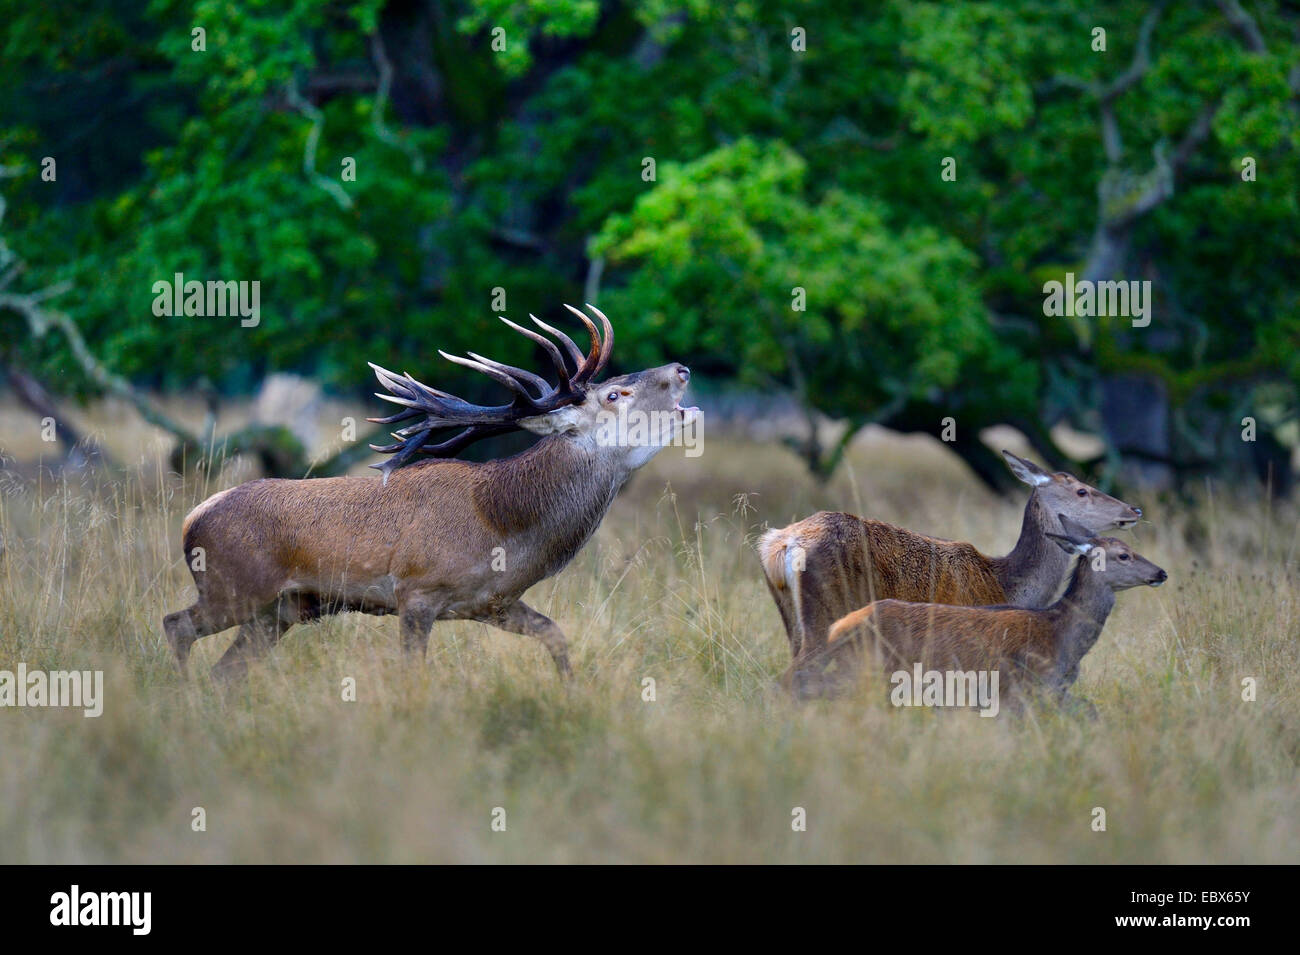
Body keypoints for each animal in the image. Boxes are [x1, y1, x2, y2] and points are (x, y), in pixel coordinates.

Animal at [162, 305, 699, 681]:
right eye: (614, 394)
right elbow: (413, 675)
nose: (681, 368)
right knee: (176, 625)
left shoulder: (494, 602)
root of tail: (191, 519)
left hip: (278, 612)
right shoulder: (416, 592)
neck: (502, 528)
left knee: (224, 672)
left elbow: (557, 637)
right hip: (233, 589)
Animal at [757, 451, 1142, 661]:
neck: (1005, 584)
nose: (1134, 509)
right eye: (1082, 491)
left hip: (791, 617)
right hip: (826, 609)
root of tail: (781, 544)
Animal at [787, 517, 1167, 708]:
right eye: (1123, 555)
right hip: (862, 668)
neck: (1061, 640)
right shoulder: (1018, 690)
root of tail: (842, 627)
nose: (1161, 572)